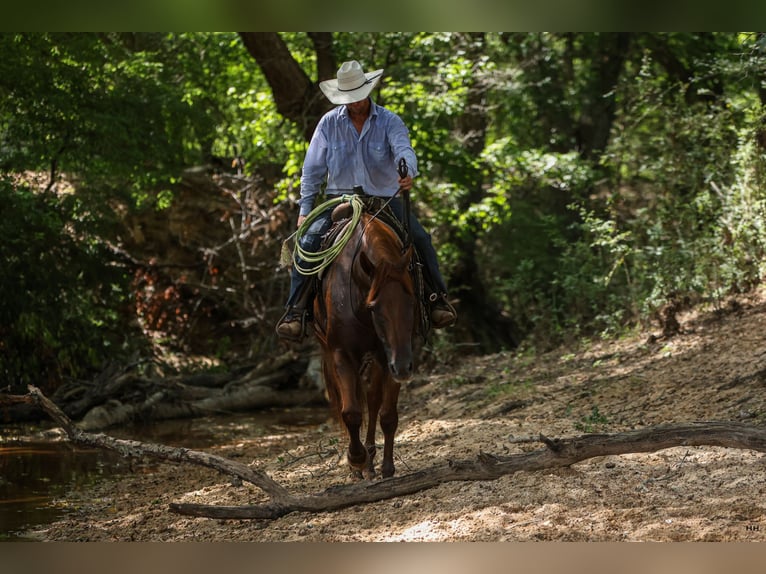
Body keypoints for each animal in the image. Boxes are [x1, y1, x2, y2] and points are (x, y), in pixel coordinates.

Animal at [314, 204, 420, 482]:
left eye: (412, 301)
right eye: (375, 307)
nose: (403, 368)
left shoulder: (391, 356)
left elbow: (388, 415)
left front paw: (386, 468)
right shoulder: (341, 353)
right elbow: (350, 411)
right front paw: (356, 459)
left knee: (373, 399)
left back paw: (372, 462)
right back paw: (362, 465)